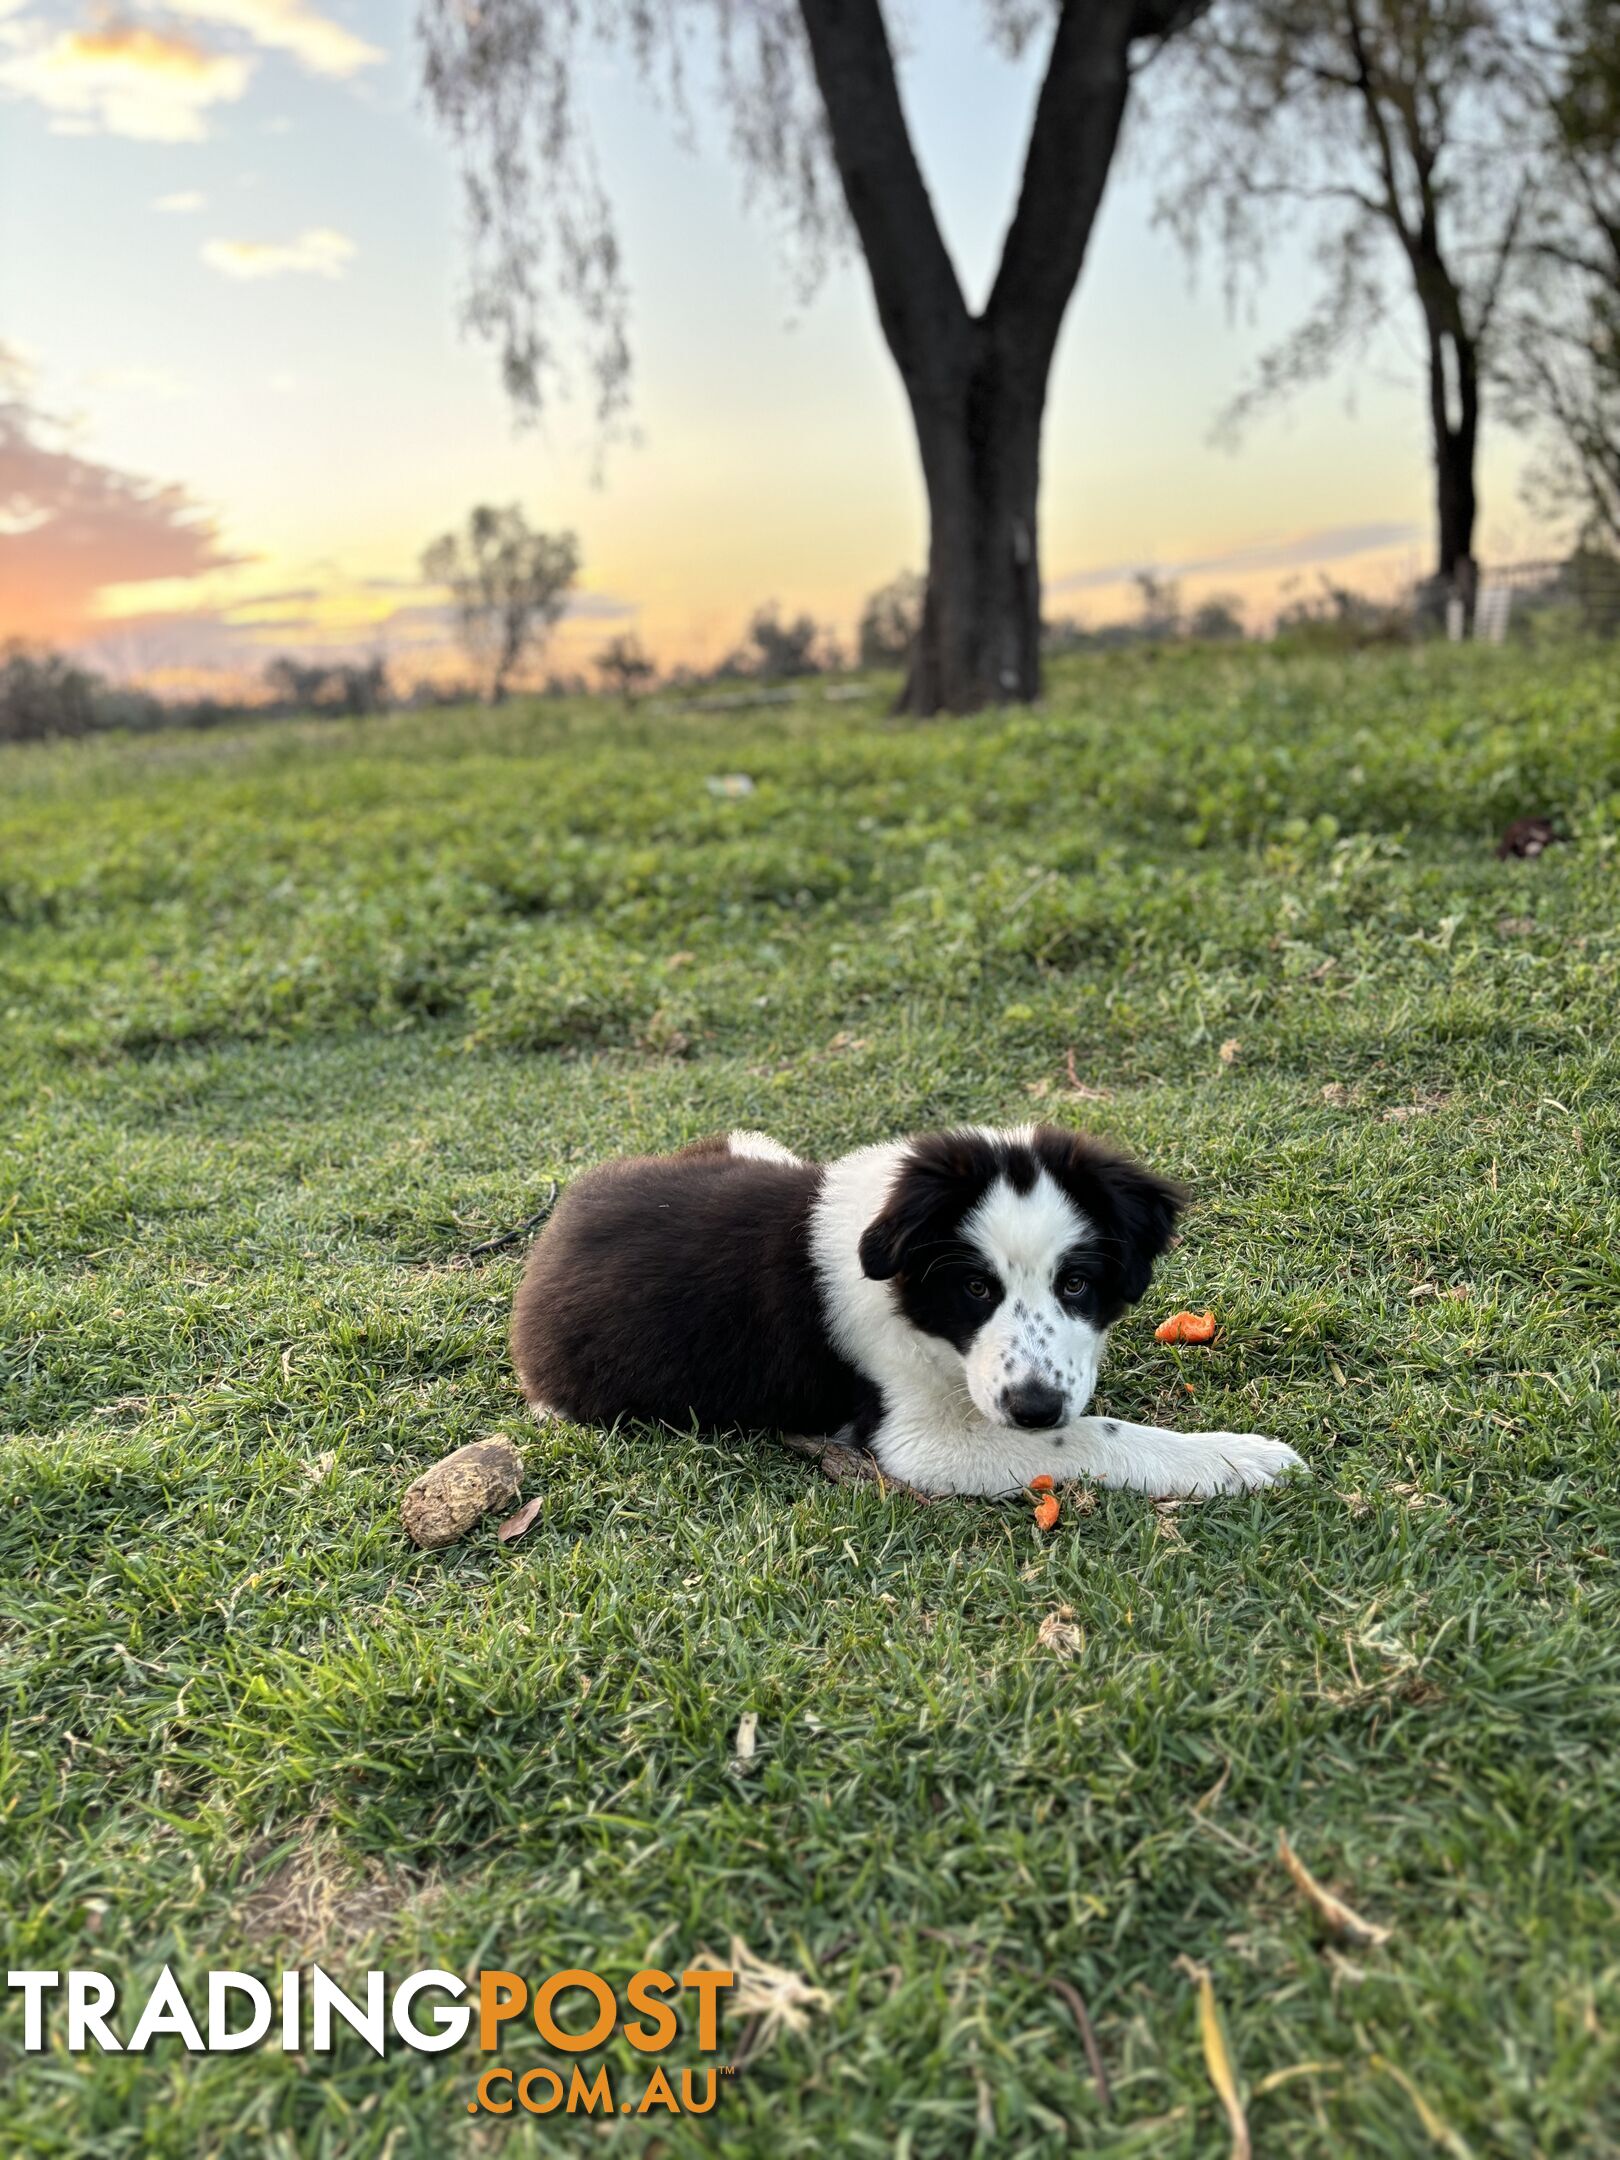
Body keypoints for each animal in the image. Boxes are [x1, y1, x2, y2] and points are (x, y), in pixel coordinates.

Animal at [514, 1131, 1313, 1503]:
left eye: (1077, 1283)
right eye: (976, 1289)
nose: (1033, 1408)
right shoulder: (921, 1444)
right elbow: (1092, 1436)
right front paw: (1235, 1458)